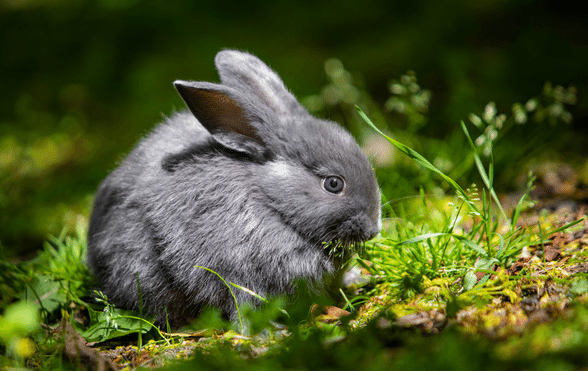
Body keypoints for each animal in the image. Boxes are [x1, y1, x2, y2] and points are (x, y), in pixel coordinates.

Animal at [87, 48, 382, 328]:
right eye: (333, 184)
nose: (373, 230)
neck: (269, 200)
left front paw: (360, 278)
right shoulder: (232, 272)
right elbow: (241, 305)